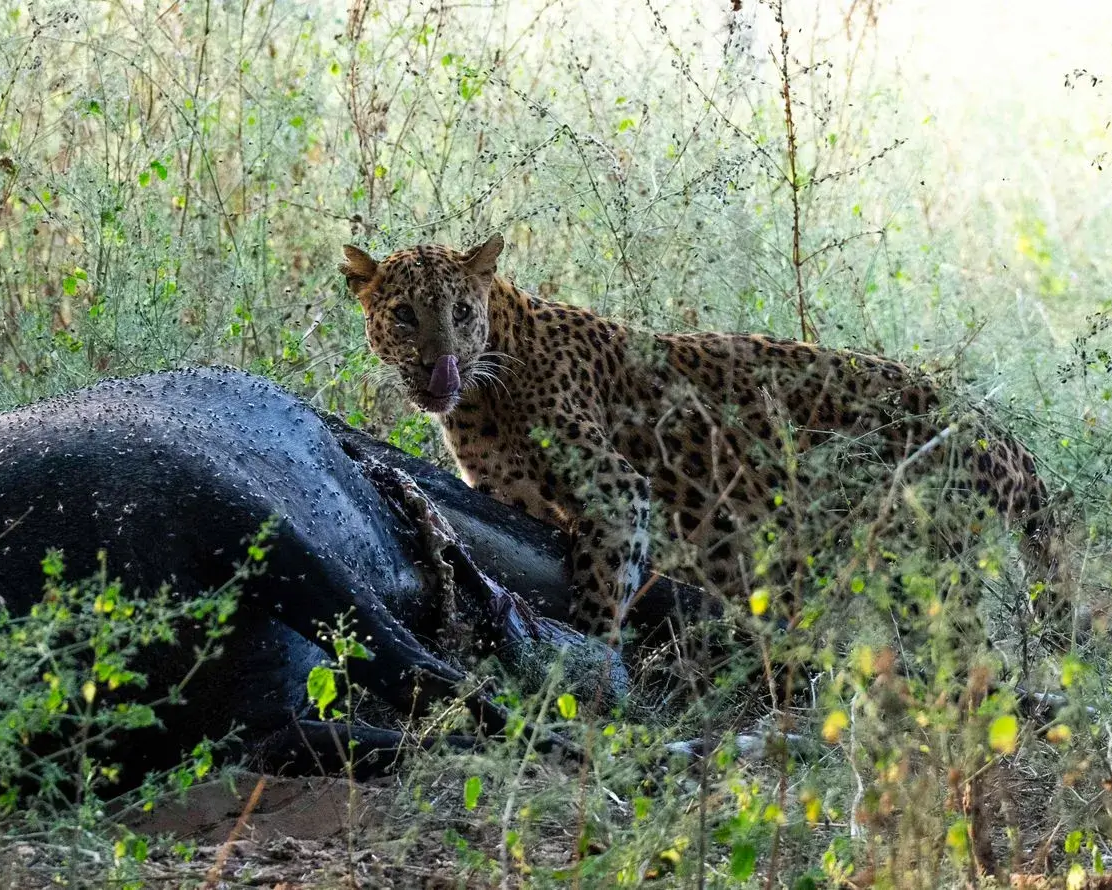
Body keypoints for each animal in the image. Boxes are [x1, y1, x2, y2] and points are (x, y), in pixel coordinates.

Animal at [340, 234, 1061, 642]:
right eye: (404, 316)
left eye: (461, 313)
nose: (440, 369)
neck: (483, 395)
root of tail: (988, 424)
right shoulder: (511, 498)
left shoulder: (617, 489)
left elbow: (603, 591)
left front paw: (595, 667)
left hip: (927, 568)